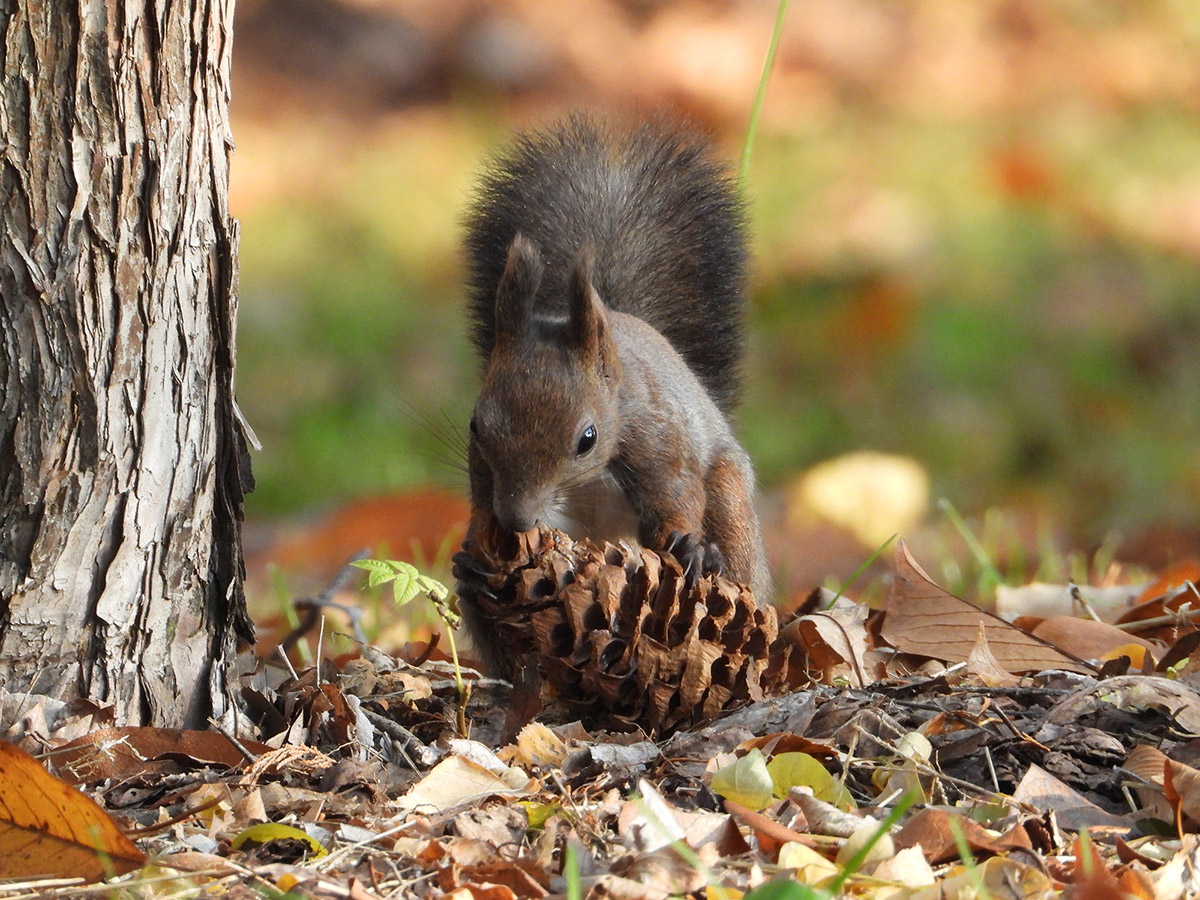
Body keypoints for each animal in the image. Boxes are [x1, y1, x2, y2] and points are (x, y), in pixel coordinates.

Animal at [458, 114, 768, 672]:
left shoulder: (658, 438)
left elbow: (677, 493)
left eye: (587, 438)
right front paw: (477, 554)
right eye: (476, 425)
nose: (515, 519)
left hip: (732, 504)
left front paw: (686, 545)